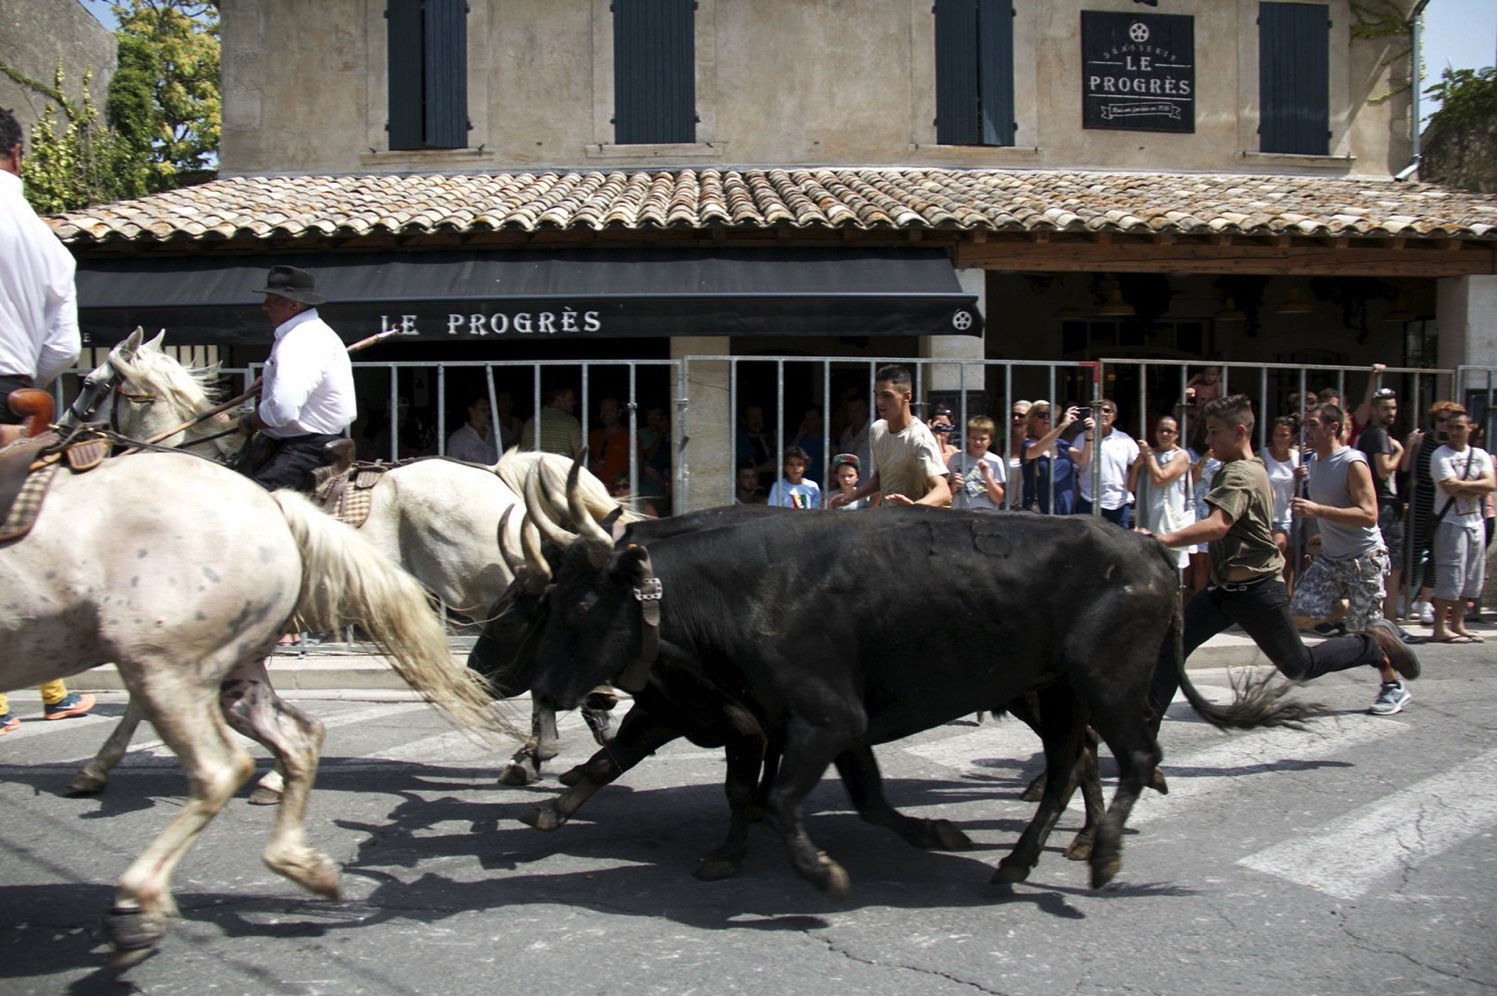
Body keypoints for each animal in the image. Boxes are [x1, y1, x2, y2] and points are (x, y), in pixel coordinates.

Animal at [494, 506, 1312, 892]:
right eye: (546, 600)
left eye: (577, 607)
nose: (539, 687)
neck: (746, 588)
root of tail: (1146, 546)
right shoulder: (812, 723)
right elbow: (856, 796)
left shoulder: (813, 718)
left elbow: (779, 797)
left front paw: (812, 869)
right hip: (1058, 694)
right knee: (1071, 765)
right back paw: (1024, 859)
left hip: (1105, 683)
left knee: (1135, 755)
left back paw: (1099, 852)